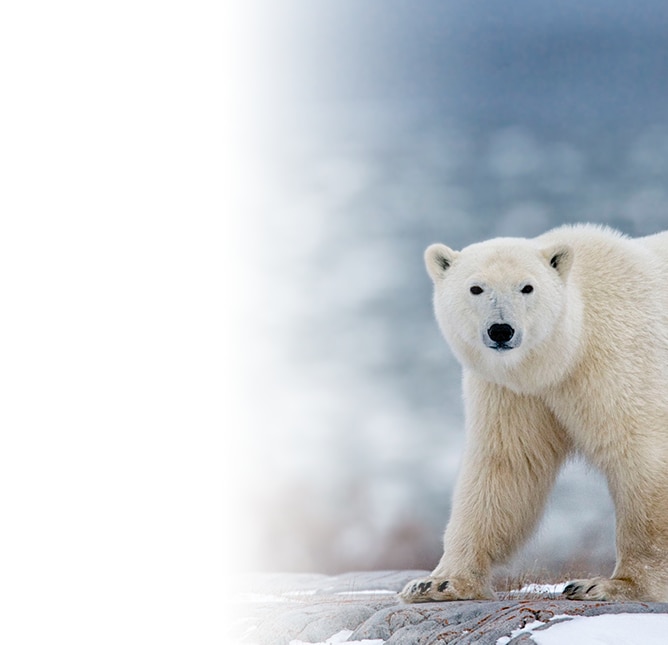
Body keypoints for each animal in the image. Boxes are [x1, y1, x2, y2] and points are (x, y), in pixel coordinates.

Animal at [400, 224, 668, 600]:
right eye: (476, 287)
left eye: (527, 287)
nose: (501, 330)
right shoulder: (515, 392)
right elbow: (506, 465)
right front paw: (437, 582)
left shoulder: (622, 364)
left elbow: (641, 457)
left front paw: (612, 584)